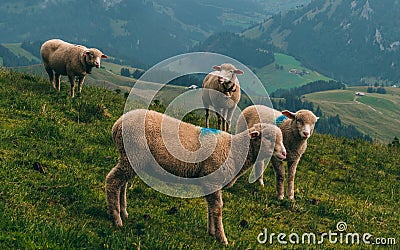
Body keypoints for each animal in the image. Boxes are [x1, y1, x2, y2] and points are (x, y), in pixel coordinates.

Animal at [105, 109, 288, 244]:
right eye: (269, 138)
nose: (285, 154)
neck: (236, 150)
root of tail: (117, 124)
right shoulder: (213, 181)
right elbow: (217, 209)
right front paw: (222, 238)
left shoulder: (209, 183)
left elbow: (211, 208)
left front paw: (211, 232)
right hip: (134, 155)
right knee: (112, 181)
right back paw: (116, 219)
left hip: (131, 159)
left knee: (122, 184)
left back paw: (123, 212)